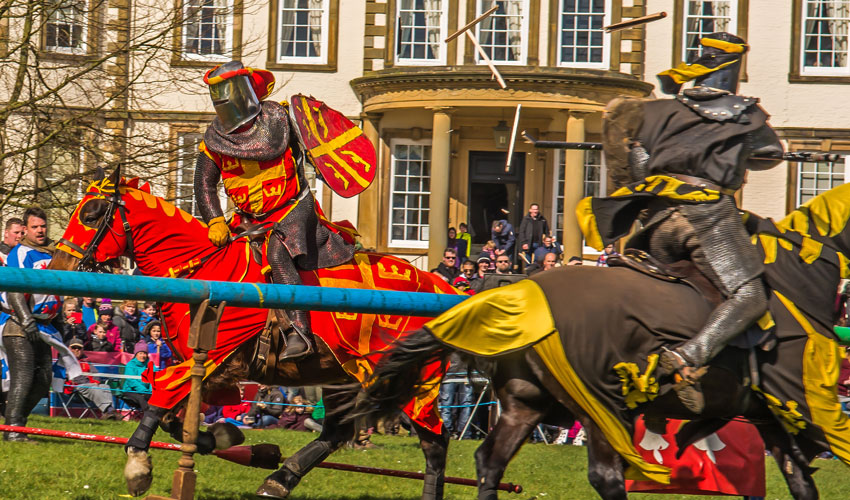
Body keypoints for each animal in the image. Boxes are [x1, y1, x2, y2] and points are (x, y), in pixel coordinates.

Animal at [49, 169, 460, 500]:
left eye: (91, 213)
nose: (57, 264)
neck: (206, 272)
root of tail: (442, 288)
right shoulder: (206, 369)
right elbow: (173, 415)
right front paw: (221, 438)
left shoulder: (214, 358)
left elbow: (163, 395)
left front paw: (138, 465)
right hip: (343, 375)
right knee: (335, 432)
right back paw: (279, 479)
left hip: (414, 383)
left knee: (435, 442)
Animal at [352, 185, 850, 500]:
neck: (796, 277)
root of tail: (520, 294)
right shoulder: (807, 407)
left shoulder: (773, 420)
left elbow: (801, 482)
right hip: (601, 405)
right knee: (607, 477)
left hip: (527, 404)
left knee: (489, 462)